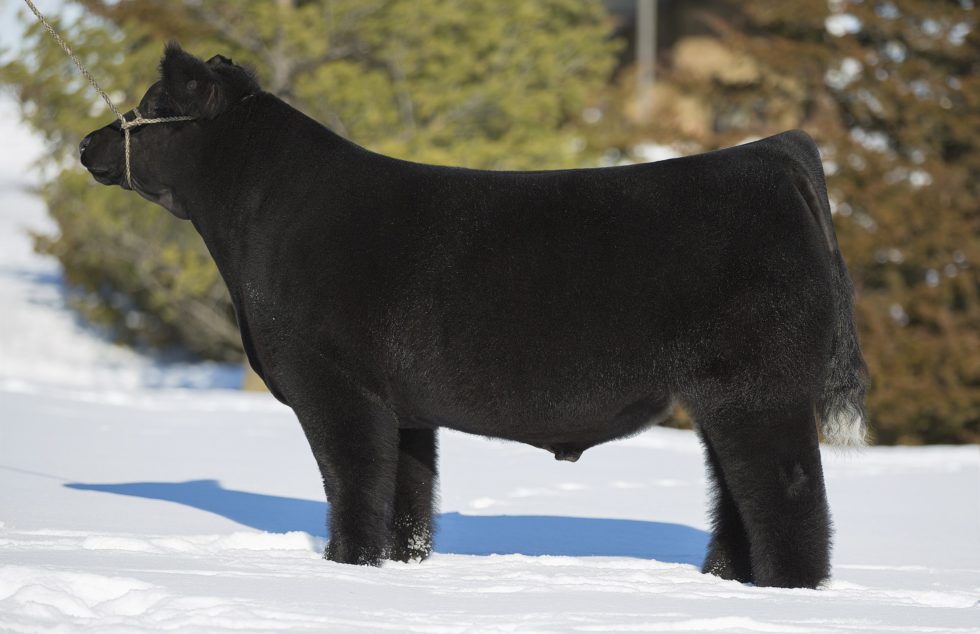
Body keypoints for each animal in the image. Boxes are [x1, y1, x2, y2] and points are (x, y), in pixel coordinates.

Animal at [82, 45, 864, 588]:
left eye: (152, 102)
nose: (89, 143)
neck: (257, 219)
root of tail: (772, 153)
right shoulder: (402, 405)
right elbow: (406, 499)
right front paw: (398, 569)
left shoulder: (333, 383)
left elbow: (352, 483)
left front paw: (345, 569)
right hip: (721, 398)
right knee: (735, 495)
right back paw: (726, 581)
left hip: (758, 389)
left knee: (789, 494)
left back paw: (786, 591)